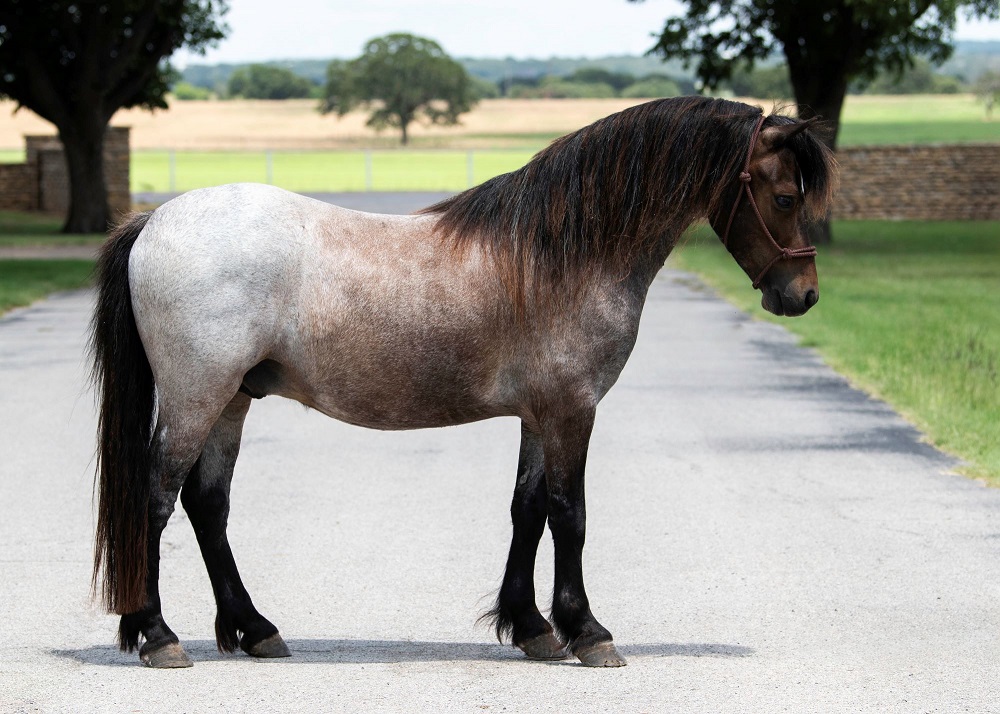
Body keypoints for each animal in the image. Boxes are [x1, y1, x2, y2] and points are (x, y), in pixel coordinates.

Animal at [90, 96, 837, 669]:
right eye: (784, 195)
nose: (802, 295)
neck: (564, 253)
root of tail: (154, 221)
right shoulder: (572, 411)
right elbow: (570, 516)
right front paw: (588, 632)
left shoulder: (539, 414)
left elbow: (526, 511)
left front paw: (533, 628)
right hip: (196, 396)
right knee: (155, 498)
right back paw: (157, 635)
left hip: (232, 400)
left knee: (207, 505)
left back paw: (255, 629)